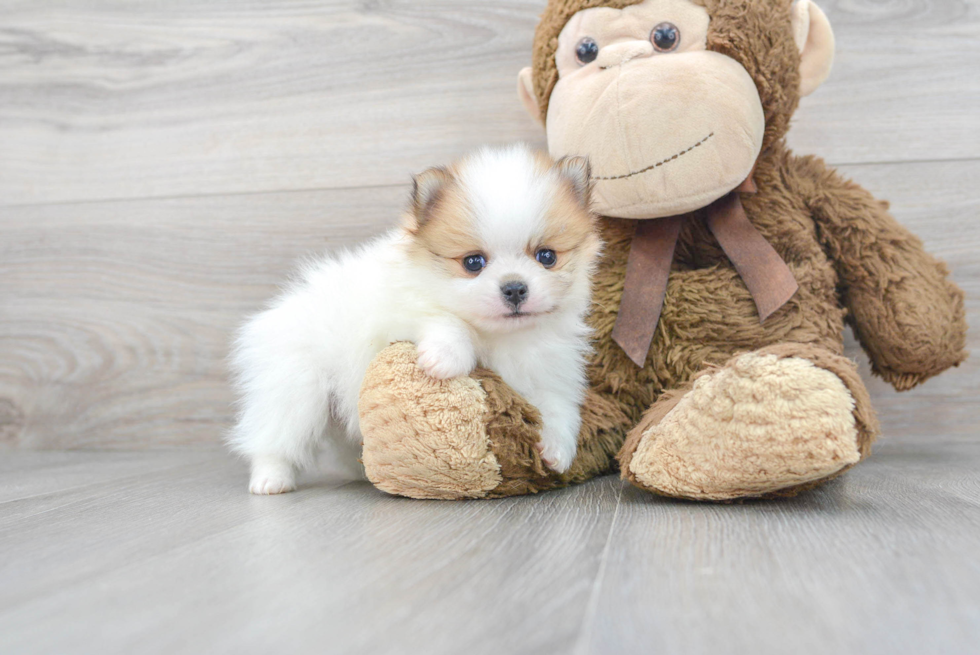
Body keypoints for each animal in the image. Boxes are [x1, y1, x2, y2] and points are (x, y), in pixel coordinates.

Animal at [231, 146, 600, 494]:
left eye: (547, 256)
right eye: (473, 262)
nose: (514, 287)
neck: (502, 337)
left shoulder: (550, 368)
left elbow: (558, 406)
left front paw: (557, 450)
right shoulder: (394, 318)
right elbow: (447, 321)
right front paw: (445, 358)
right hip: (296, 388)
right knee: (275, 439)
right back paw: (270, 479)